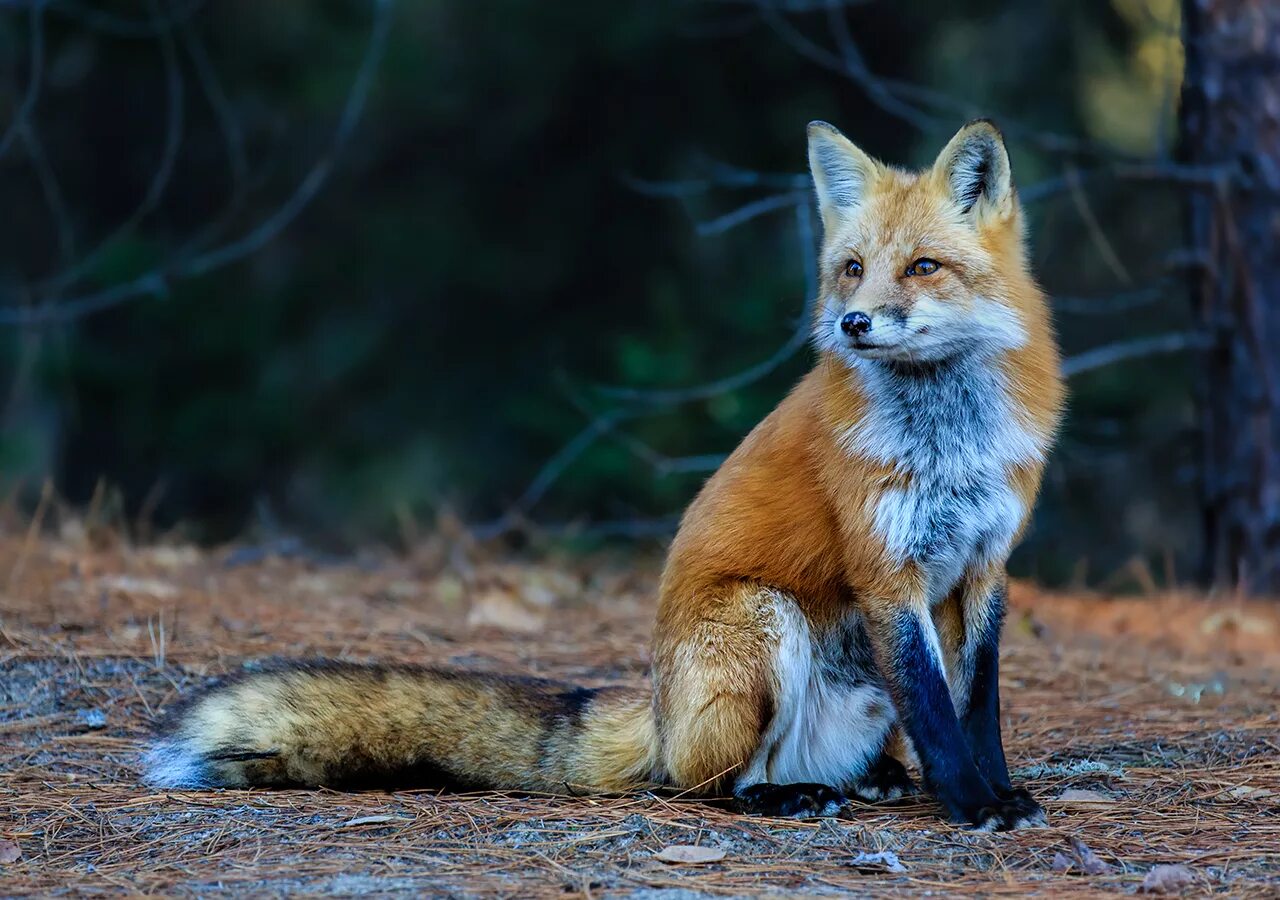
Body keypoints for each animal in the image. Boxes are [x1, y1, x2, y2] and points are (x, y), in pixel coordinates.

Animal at [147, 117, 1070, 829]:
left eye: (922, 267)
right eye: (851, 268)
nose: (852, 323)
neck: (949, 441)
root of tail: (657, 715)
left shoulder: (985, 567)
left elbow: (976, 707)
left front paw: (998, 791)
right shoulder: (888, 574)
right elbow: (938, 715)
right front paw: (971, 804)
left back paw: (872, 776)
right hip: (761, 625)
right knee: (704, 784)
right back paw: (784, 796)